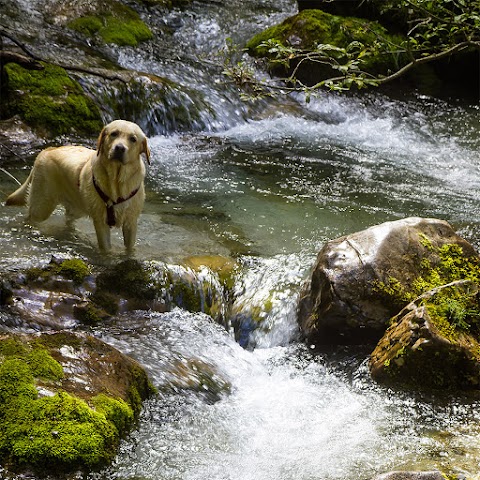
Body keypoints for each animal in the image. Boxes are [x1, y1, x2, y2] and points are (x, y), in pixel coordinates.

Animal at [5, 119, 150, 251]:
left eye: (133, 139)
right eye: (114, 134)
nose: (119, 148)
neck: (117, 180)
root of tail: (47, 150)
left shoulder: (131, 222)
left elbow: (130, 248)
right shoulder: (101, 222)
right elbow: (106, 249)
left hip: (77, 207)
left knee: (68, 220)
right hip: (41, 207)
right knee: (30, 218)